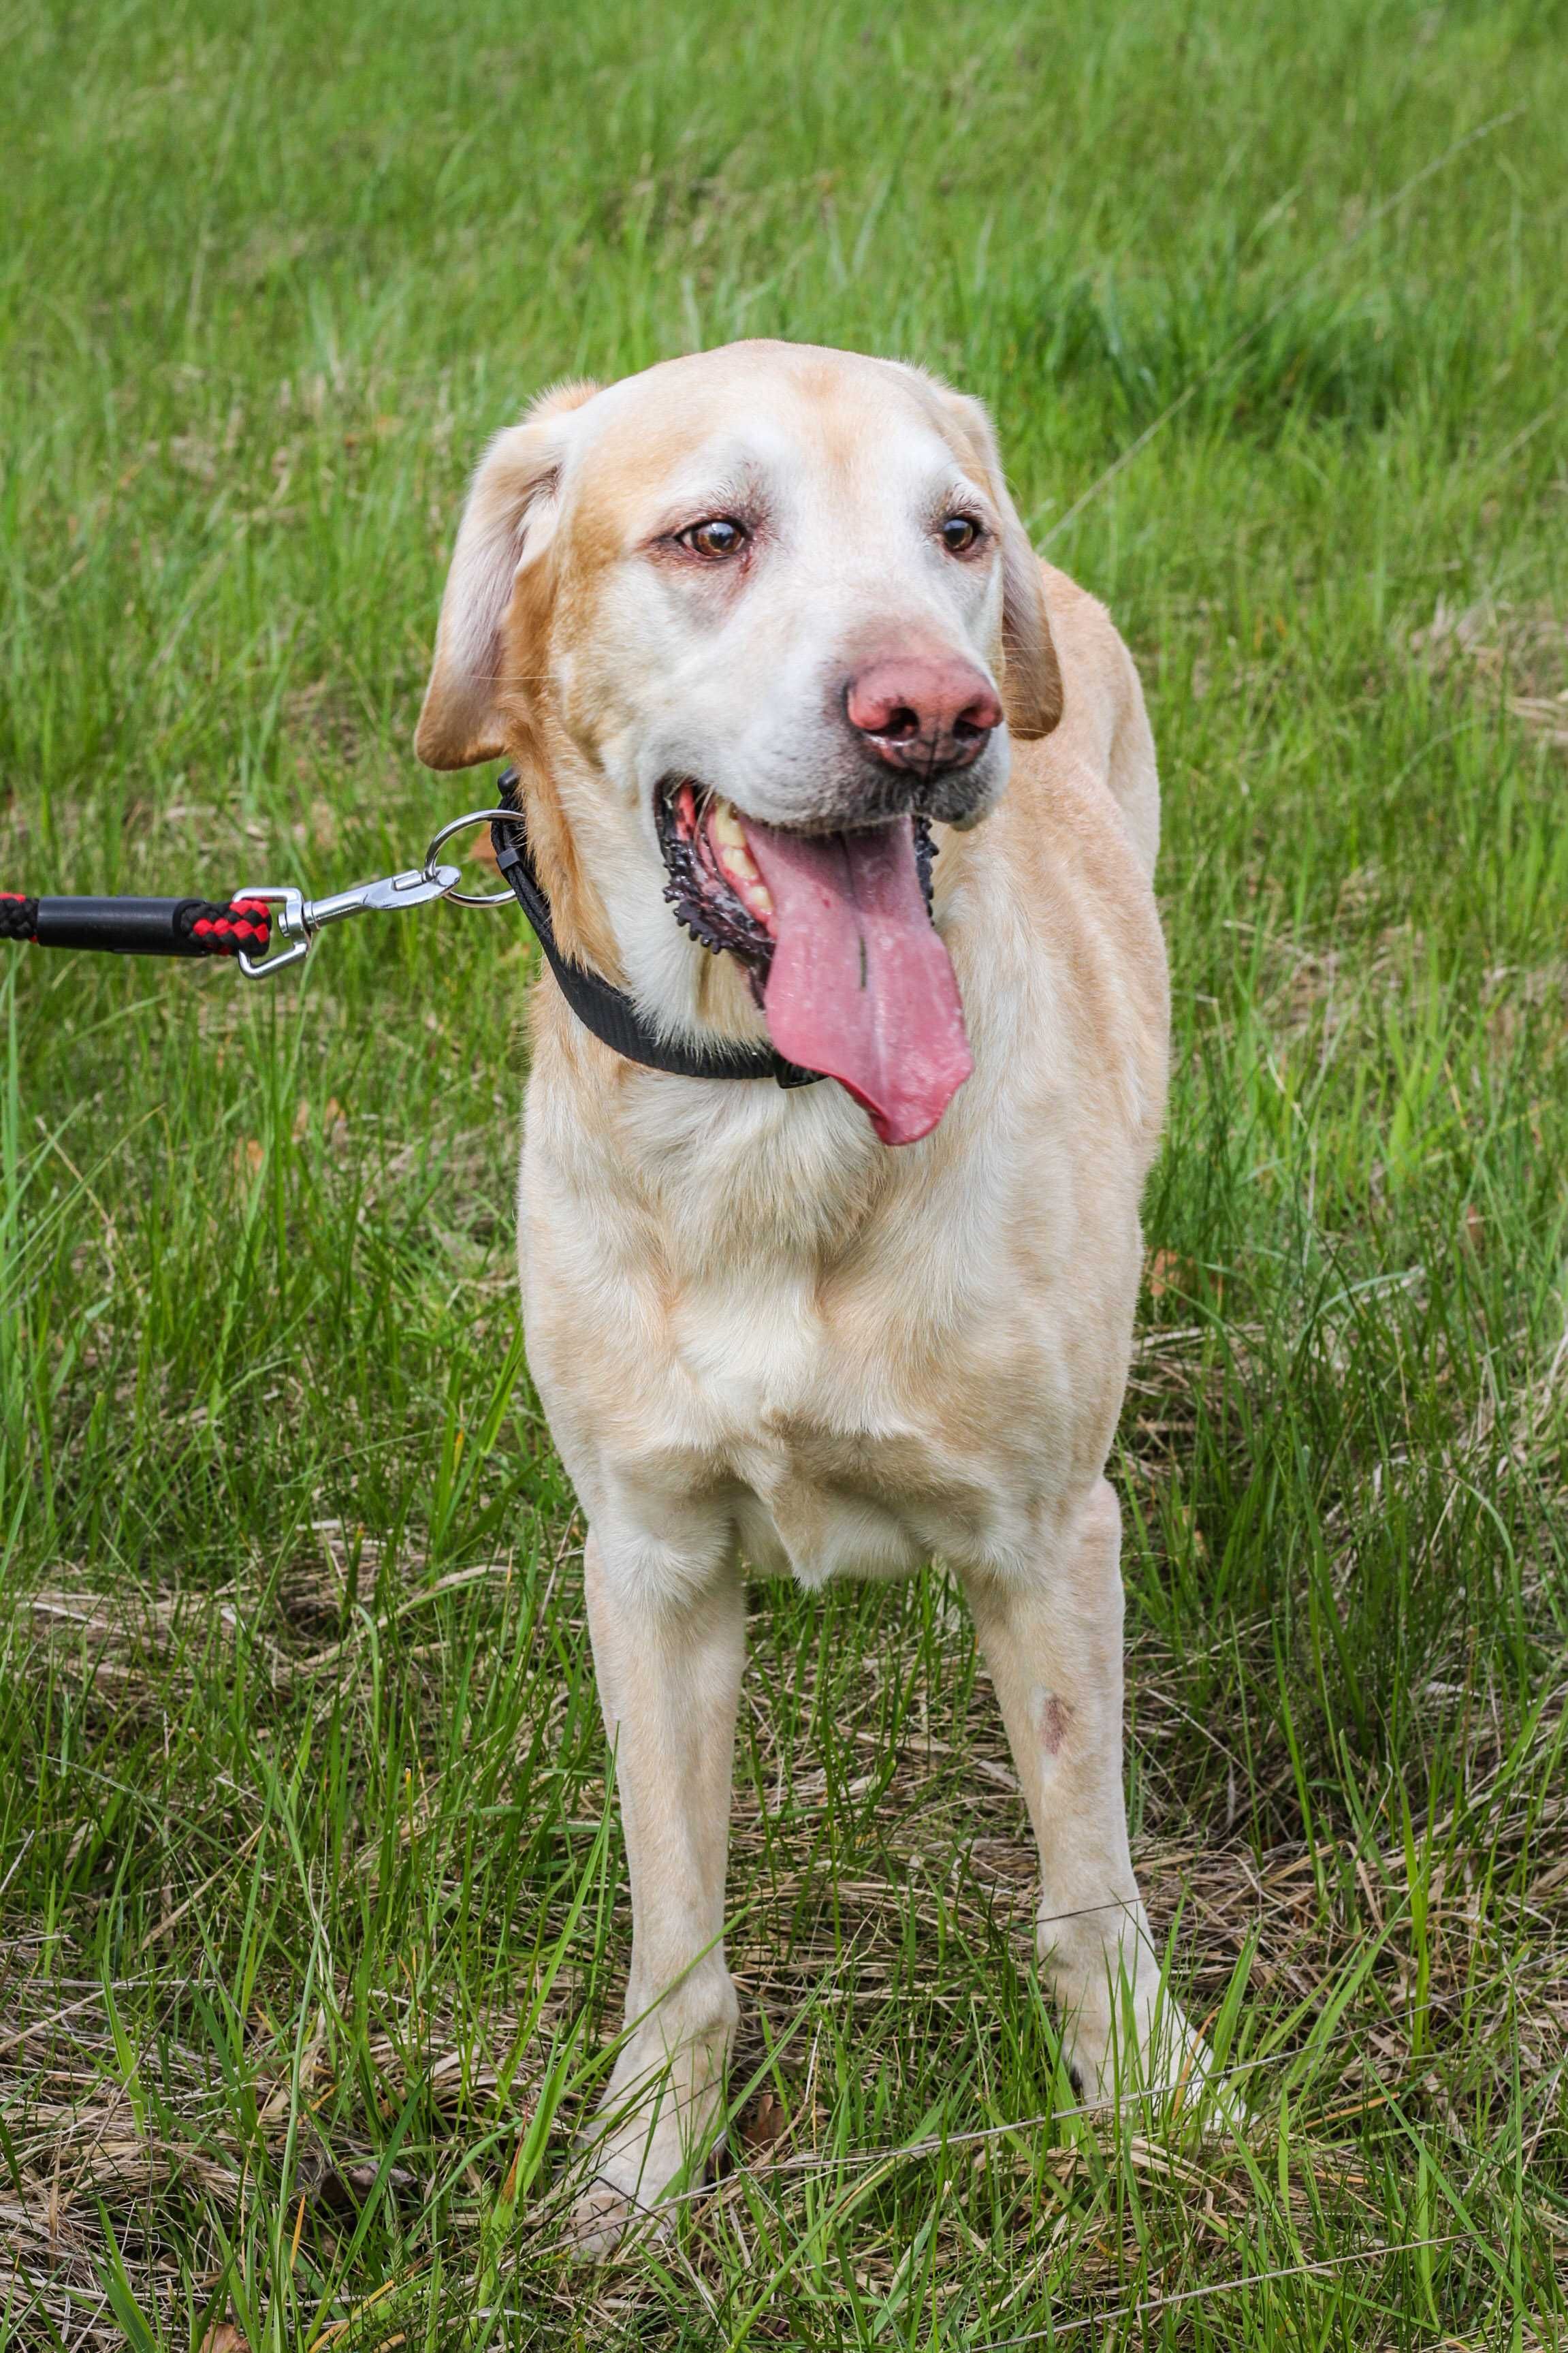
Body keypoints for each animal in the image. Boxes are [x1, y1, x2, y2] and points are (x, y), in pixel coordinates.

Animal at [411, 336, 1213, 2240]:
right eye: (713, 533)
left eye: (954, 531)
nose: (936, 714)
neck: (770, 1115)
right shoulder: (645, 1556)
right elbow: (676, 1923)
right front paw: (641, 2165)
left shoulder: (1054, 1537)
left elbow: (1086, 1878)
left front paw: (1153, 2104)